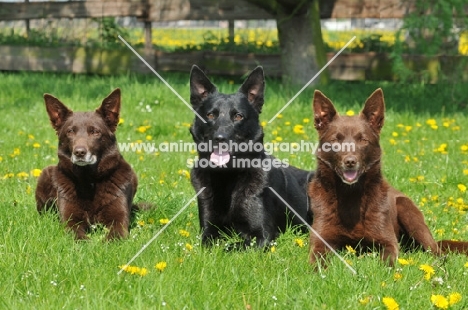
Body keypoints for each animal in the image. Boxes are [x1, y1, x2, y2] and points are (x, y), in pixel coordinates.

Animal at [35, 88, 137, 241]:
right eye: (70, 131)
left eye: (95, 132)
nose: (79, 152)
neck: (89, 180)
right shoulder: (70, 221)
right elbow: (78, 236)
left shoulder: (119, 219)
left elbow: (114, 235)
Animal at [188, 65, 312, 247]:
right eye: (210, 115)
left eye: (238, 116)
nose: (220, 138)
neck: (227, 176)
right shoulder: (208, 231)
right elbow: (211, 242)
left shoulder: (262, 236)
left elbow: (230, 246)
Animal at [308, 88, 468, 266]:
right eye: (335, 140)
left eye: (363, 140)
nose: (350, 161)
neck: (351, 196)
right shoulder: (320, 241)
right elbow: (317, 261)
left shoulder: (388, 241)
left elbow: (387, 260)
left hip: (407, 210)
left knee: (437, 252)